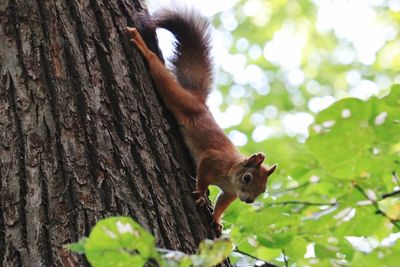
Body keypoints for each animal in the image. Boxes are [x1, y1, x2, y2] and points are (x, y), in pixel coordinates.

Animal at [126, 5, 276, 232]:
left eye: (264, 189)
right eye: (247, 178)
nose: (249, 200)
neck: (230, 172)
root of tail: (199, 102)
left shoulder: (230, 192)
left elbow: (223, 202)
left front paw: (217, 219)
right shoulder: (213, 161)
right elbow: (203, 174)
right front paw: (201, 194)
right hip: (180, 100)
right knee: (160, 74)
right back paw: (143, 46)